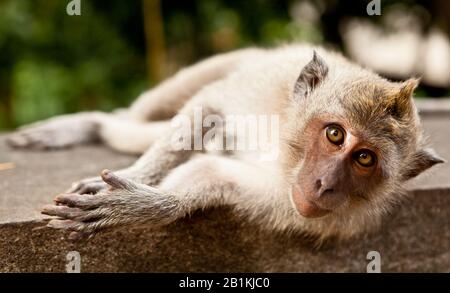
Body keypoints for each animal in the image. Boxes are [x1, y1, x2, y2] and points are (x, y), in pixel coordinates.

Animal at [5, 44, 444, 240]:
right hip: (236, 59)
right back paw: (91, 125)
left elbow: (211, 171)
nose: (325, 186)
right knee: (144, 116)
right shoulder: (260, 88)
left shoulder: (293, 200)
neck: (283, 148)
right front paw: (139, 176)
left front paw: (143, 206)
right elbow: (207, 107)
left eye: (365, 158)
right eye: (335, 134)